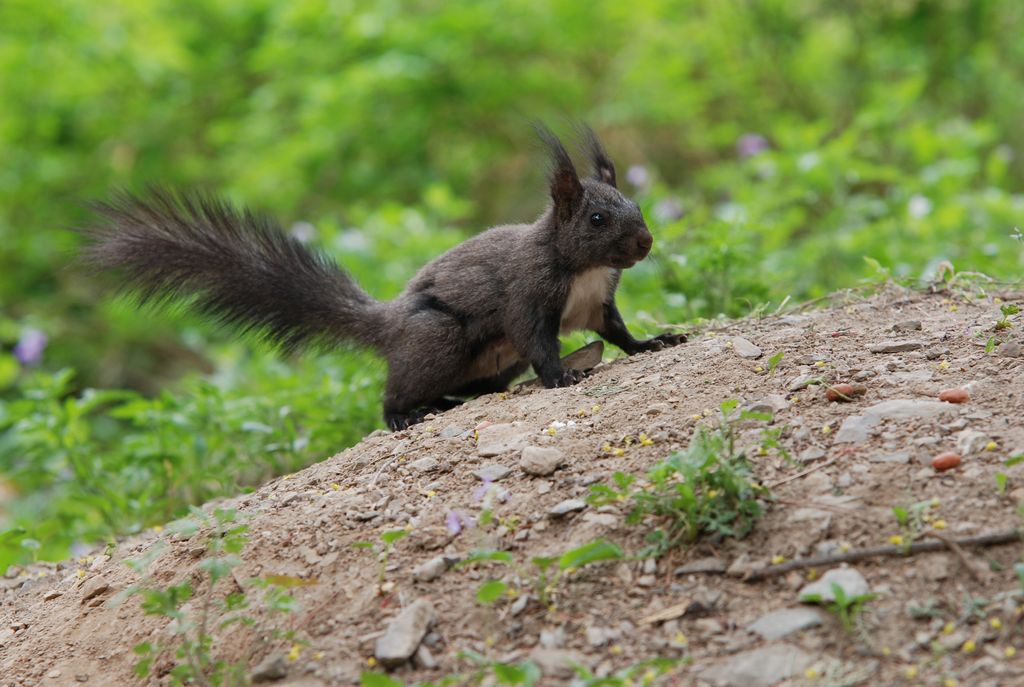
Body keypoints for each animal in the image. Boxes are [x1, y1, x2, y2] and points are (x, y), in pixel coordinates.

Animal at [79, 126, 688, 430]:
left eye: (637, 204)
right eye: (597, 219)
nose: (645, 243)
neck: (583, 267)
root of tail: (389, 324)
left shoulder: (597, 302)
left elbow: (617, 333)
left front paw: (655, 341)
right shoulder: (528, 295)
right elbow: (538, 340)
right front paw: (562, 376)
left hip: (489, 362)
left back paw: (449, 402)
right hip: (437, 339)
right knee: (395, 393)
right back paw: (404, 416)